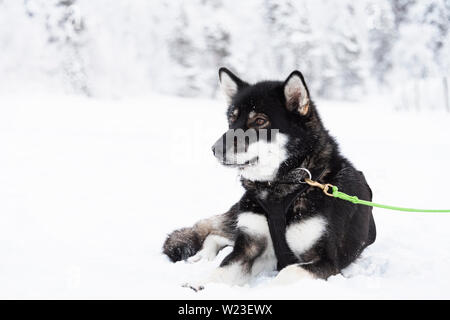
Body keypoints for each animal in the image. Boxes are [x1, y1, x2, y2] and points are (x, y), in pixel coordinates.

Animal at [163, 67, 376, 290]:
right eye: (232, 119)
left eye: (259, 121)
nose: (215, 149)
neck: (280, 189)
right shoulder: (250, 244)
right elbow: (224, 267)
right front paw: (200, 283)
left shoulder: (326, 261)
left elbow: (287, 273)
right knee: (215, 234)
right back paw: (202, 256)